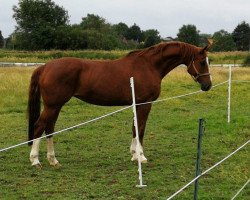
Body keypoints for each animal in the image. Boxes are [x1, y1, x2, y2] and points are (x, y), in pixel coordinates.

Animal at [28, 40, 212, 167]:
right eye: (203, 62)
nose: (208, 85)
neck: (149, 65)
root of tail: (45, 67)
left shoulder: (136, 104)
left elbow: (134, 128)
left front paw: (134, 154)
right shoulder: (145, 103)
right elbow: (141, 129)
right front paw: (141, 156)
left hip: (55, 106)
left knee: (49, 128)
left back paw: (53, 160)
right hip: (53, 105)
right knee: (39, 126)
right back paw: (35, 160)